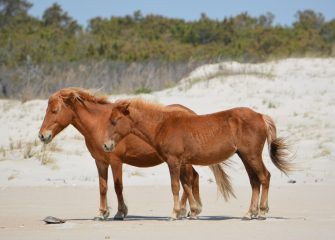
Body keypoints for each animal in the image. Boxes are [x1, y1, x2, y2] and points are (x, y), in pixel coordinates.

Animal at [38, 87, 234, 219]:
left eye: (55, 110)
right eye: (46, 110)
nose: (42, 135)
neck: (99, 125)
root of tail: (191, 113)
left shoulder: (116, 161)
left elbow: (118, 187)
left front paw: (120, 212)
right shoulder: (100, 162)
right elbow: (103, 187)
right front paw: (102, 213)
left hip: (183, 161)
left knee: (190, 179)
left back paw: (189, 210)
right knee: (192, 178)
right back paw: (187, 210)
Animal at [102, 99, 294, 219]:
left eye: (114, 121)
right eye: (109, 120)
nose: (106, 145)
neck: (162, 126)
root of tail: (260, 115)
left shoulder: (173, 161)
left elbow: (176, 186)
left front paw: (175, 213)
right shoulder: (182, 162)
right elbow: (186, 184)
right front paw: (192, 211)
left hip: (252, 155)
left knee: (264, 177)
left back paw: (262, 211)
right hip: (245, 156)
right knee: (254, 181)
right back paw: (250, 213)